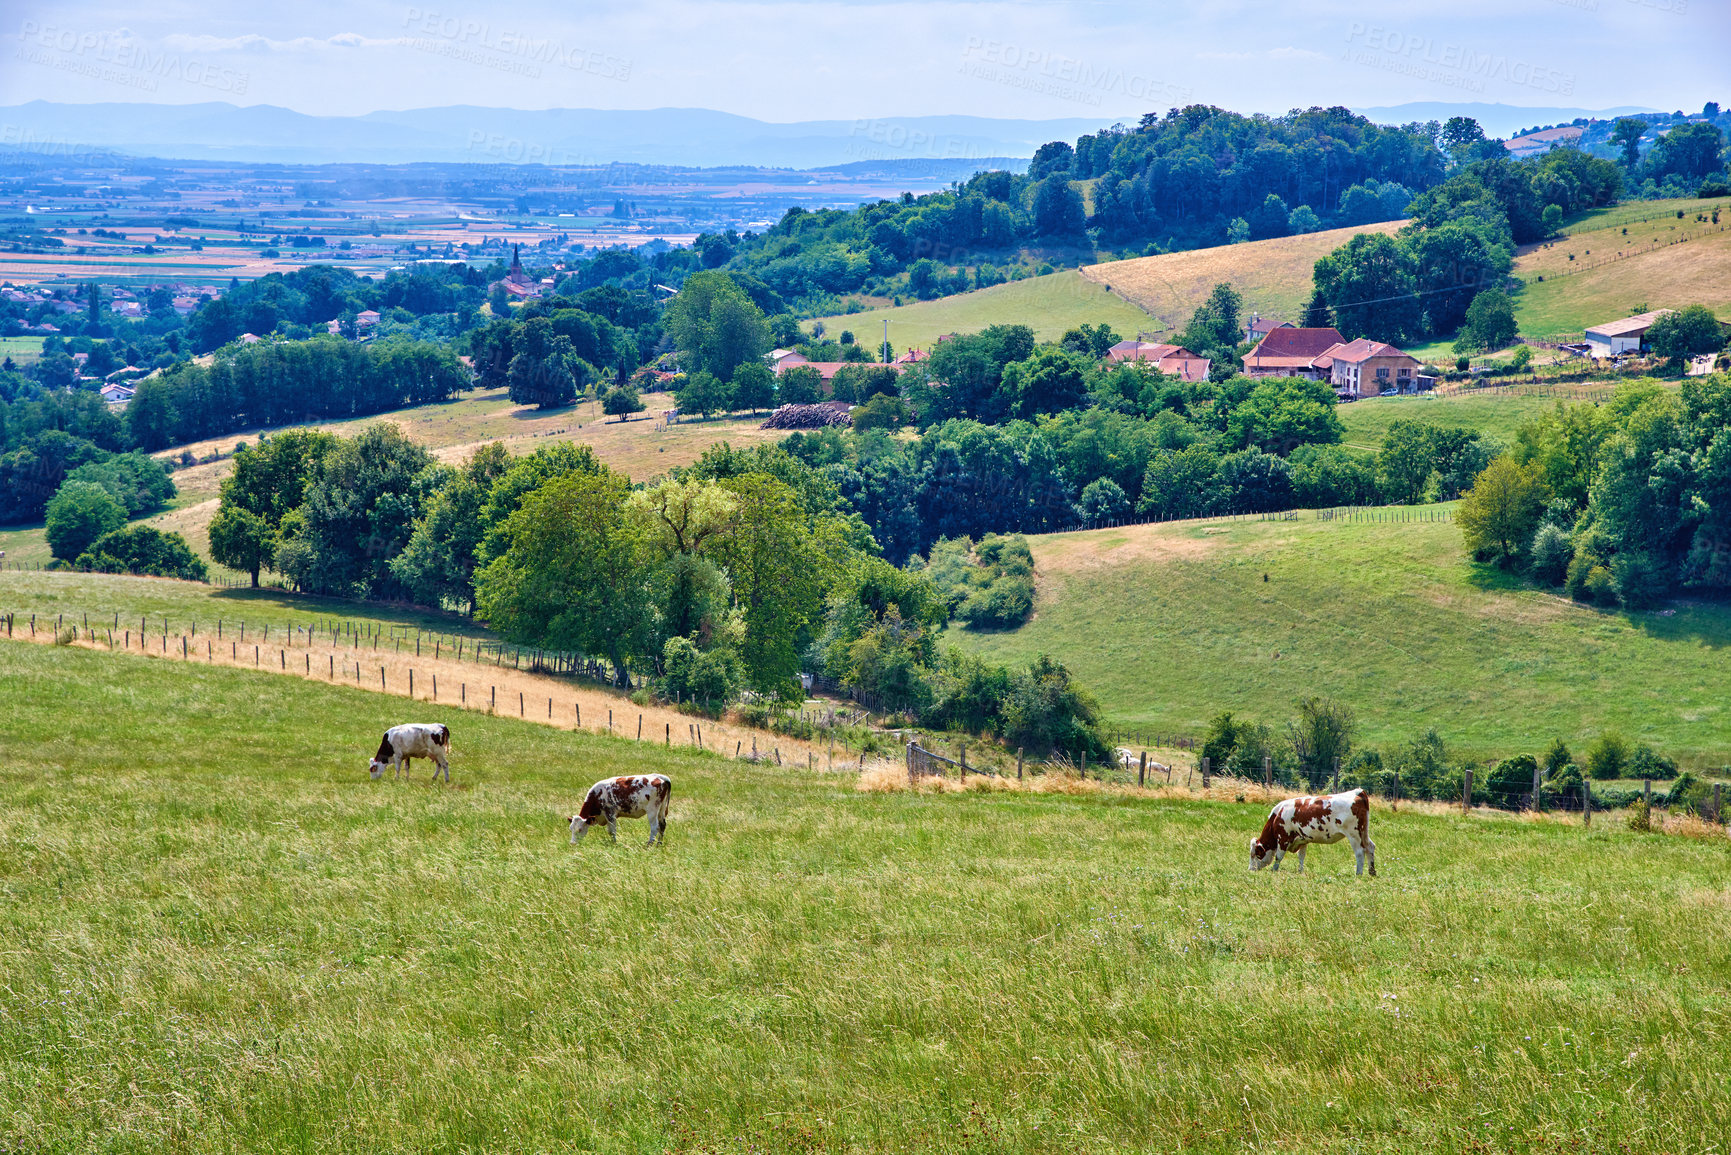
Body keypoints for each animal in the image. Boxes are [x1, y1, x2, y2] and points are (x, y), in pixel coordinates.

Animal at [1246, 789, 1377, 879]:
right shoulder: (1303, 839)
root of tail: (1357, 792)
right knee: (1370, 847)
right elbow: (1301, 856)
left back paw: (1358, 874)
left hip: (1353, 834)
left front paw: (1274, 870)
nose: (1250, 870)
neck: (1277, 816)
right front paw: (1300, 871)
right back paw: (1372, 872)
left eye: (1255, 854)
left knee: (1359, 852)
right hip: (1363, 832)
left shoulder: (1283, 838)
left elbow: (1278, 857)